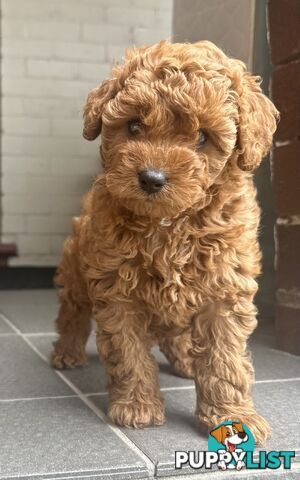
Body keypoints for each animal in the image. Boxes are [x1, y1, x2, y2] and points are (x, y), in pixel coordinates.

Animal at [51, 41, 278, 446]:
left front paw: (232, 417)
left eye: (202, 137)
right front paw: (136, 406)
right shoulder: (117, 291)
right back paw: (67, 352)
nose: (151, 178)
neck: (170, 223)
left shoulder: (225, 288)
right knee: (72, 312)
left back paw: (186, 359)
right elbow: (127, 352)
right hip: (77, 269)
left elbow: (225, 358)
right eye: (134, 125)